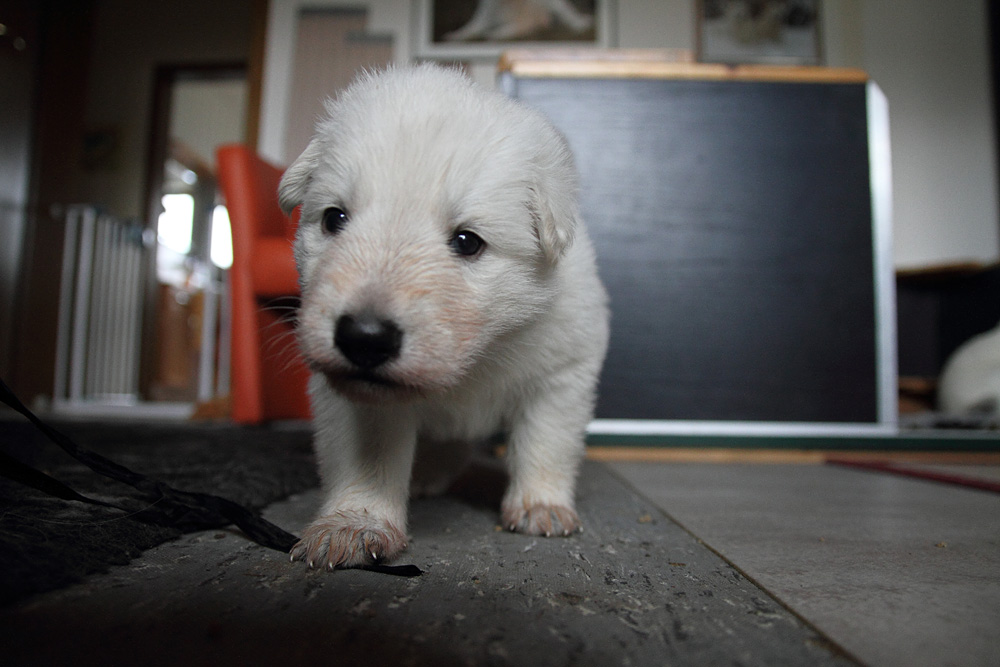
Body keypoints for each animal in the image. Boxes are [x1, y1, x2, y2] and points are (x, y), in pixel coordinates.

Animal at [278, 64, 609, 570]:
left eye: (468, 241)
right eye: (334, 218)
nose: (364, 338)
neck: (478, 354)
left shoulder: (562, 369)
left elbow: (546, 440)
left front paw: (542, 507)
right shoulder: (364, 396)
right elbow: (369, 457)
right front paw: (354, 525)